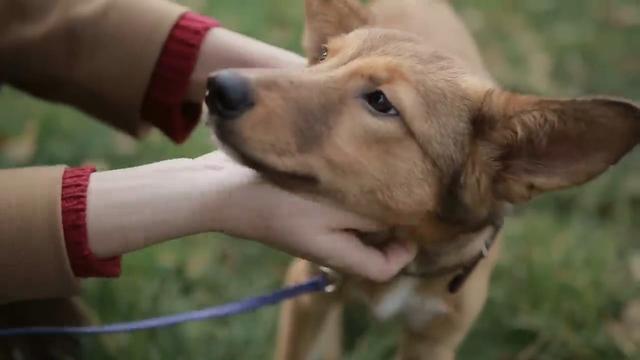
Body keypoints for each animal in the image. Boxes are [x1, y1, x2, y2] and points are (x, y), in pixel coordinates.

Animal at [206, 0, 640, 358]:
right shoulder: (310, 296)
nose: (217, 87)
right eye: (325, 55)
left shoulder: (434, 339)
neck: (408, 257)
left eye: (381, 101)